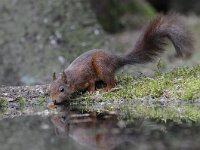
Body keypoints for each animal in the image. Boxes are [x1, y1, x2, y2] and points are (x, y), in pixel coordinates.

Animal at [48, 14, 194, 105]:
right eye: (49, 90)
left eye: (62, 89)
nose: (54, 101)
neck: (71, 78)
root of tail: (116, 59)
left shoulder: (85, 76)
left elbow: (91, 83)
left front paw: (90, 91)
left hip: (101, 66)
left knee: (113, 82)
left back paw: (106, 88)